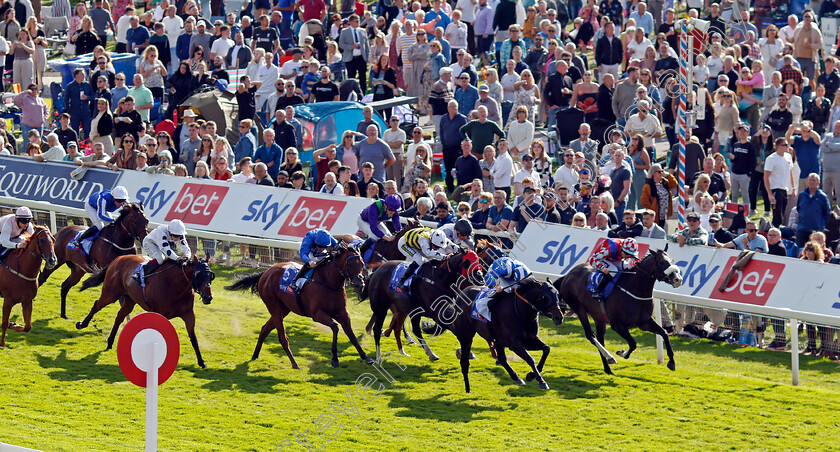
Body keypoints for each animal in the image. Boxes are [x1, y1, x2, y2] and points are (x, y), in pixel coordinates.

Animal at [76, 254, 217, 368]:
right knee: (96, 305)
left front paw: (201, 361)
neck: (175, 286)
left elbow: (193, 338)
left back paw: (110, 342)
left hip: (129, 300)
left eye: (211, 275)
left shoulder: (189, 314)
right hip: (110, 294)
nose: (208, 297)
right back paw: (82, 324)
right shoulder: (160, 314)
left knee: (119, 316)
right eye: (198, 274)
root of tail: (118, 258)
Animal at [230, 242, 374, 370]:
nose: (359, 284)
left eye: (362, 263)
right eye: (349, 264)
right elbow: (335, 327)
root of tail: (265, 273)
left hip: (284, 309)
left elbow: (351, 334)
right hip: (274, 307)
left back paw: (255, 355)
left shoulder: (343, 313)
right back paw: (295, 364)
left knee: (265, 329)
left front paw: (366, 357)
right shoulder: (317, 314)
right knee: (282, 337)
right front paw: (334, 359)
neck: (329, 282)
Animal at [556, 247, 684, 374]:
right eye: (662, 262)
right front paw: (621, 353)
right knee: (590, 335)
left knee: (600, 338)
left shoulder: (644, 322)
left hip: (599, 317)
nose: (678, 279)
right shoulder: (617, 325)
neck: (634, 289)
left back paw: (607, 368)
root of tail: (568, 275)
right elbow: (633, 343)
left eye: (672, 260)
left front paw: (671, 362)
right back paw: (610, 357)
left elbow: (664, 333)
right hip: (579, 309)